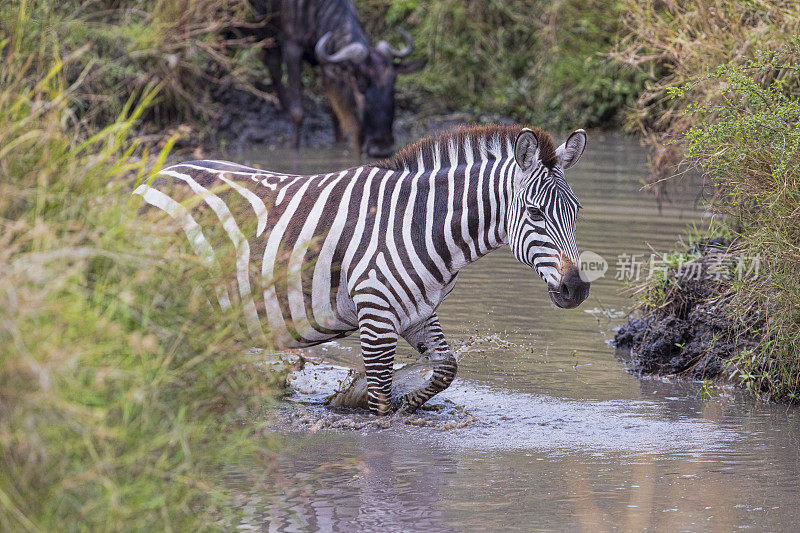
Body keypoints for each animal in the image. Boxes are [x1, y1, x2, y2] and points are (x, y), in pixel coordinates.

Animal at [134, 125, 592, 416]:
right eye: (534, 213)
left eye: (576, 212)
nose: (576, 290)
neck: (421, 225)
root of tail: (155, 176)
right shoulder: (375, 317)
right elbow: (380, 404)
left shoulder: (417, 311)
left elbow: (446, 367)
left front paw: (401, 403)